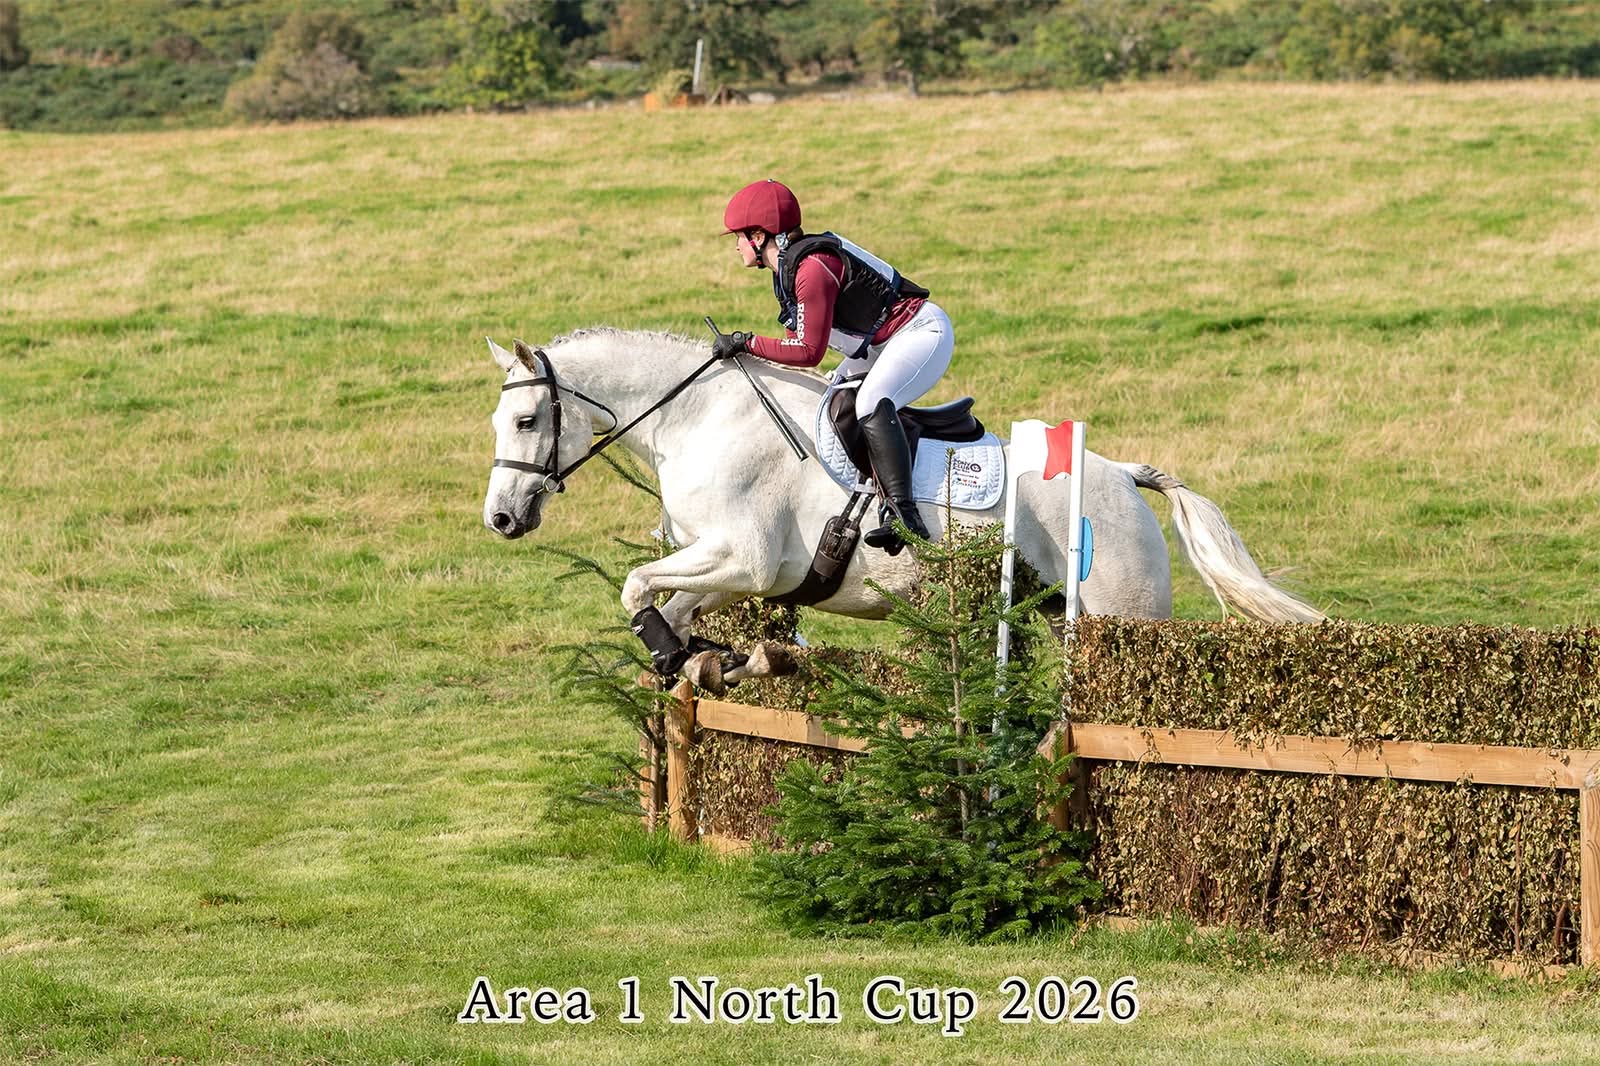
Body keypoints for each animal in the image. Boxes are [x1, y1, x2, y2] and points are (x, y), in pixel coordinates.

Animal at [482, 328, 1323, 684]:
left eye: (524, 421)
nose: (500, 519)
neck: (697, 417)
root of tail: (1120, 474)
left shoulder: (741, 558)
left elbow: (637, 587)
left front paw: (680, 657)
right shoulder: (725, 570)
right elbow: (668, 604)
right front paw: (707, 660)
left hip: (1122, 608)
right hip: (1055, 610)